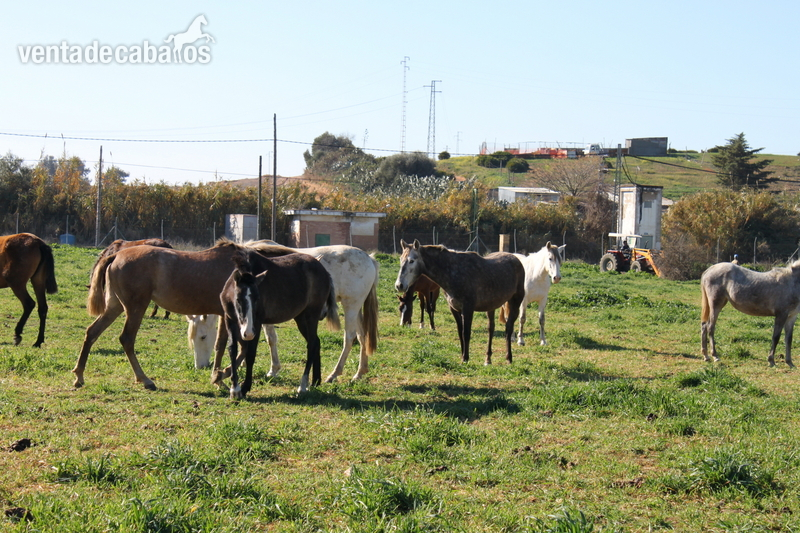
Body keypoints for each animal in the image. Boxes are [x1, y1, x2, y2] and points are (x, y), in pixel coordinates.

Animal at [72, 238, 298, 390]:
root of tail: (116, 255)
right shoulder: (229, 315)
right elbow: (228, 346)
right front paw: (220, 377)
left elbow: (228, 346)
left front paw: (219, 376)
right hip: (135, 307)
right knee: (126, 339)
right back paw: (145, 379)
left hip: (114, 306)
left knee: (92, 332)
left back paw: (79, 376)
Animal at [191, 242, 379, 383]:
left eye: (202, 337)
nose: (200, 366)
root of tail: (369, 259)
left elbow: (270, 339)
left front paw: (272, 370)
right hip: (357, 307)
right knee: (362, 336)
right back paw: (359, 372)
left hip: (351, 306)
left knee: (349, 337)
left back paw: (334, 374)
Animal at [220, 250, 340, 398]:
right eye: (238, 299)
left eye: (257, 298)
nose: (247, 333)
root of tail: (324, 271)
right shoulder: (229, 320)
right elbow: (232, 350)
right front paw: (234, 389)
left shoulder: (257, 323)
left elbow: (250, 355)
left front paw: (245, 388)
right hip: (300, 318)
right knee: (316, 342)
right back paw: (315, 381)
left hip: (311, 315)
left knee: (312, 344)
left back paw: (303, 385)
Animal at [395, 239, 526, 364]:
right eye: (401, 259)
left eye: (411, 260)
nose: (399, 285)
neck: (453, 272)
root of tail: (516, 259)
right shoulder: (454, 309)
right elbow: (460, 332)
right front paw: (462, 356)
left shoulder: (468, 309)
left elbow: (466, 333)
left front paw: (465, 358)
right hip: (491, 306)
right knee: (491, 328)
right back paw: (488, 359)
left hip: (515, 302)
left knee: (508, 328)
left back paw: (509, 358)